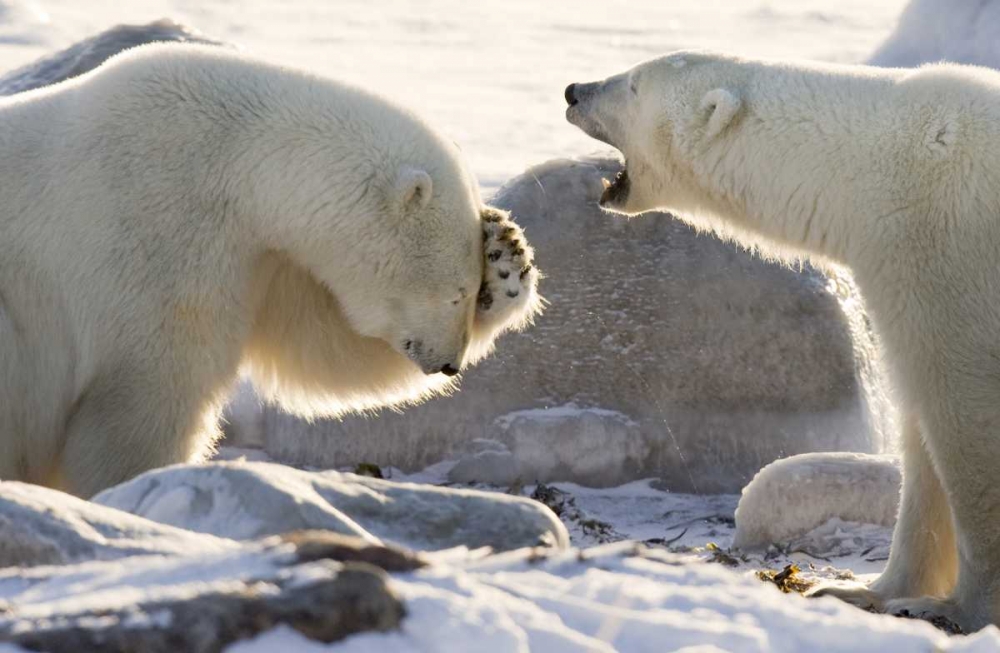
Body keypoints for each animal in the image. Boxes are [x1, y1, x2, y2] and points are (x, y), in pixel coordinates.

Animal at [0, 43, 540, 496]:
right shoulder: (155, 233)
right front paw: (138, 486)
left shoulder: (261, 257)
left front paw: (507, 256)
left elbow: (322, 345)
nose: (449, 363)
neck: (232, 160)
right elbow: (147, 392)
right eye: (454, 292)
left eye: (471, 291)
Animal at [568, 51, 1000, 632]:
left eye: (632, 85)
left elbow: (967, 419)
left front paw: (963, 607)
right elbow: (922, 433)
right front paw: (867, 592)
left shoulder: (947, 251)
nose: (573, 90)